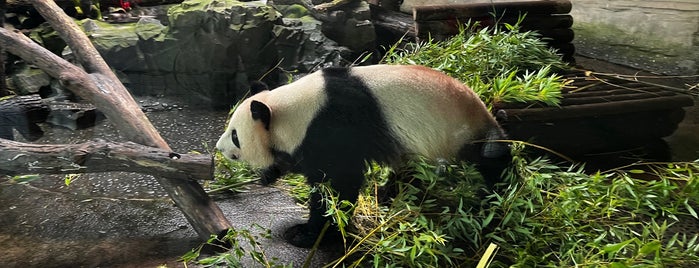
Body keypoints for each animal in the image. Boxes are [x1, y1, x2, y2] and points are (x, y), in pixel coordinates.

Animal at [216, 63, 512, 248]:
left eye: (235, 136)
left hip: (459, 133)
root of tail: (484, 112)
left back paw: (495, 199)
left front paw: (308, 234)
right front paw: (269, 174)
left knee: (491, 160)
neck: (294, 108)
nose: (218, 148)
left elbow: (336, 183)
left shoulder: (332, 127)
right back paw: (392, 194)